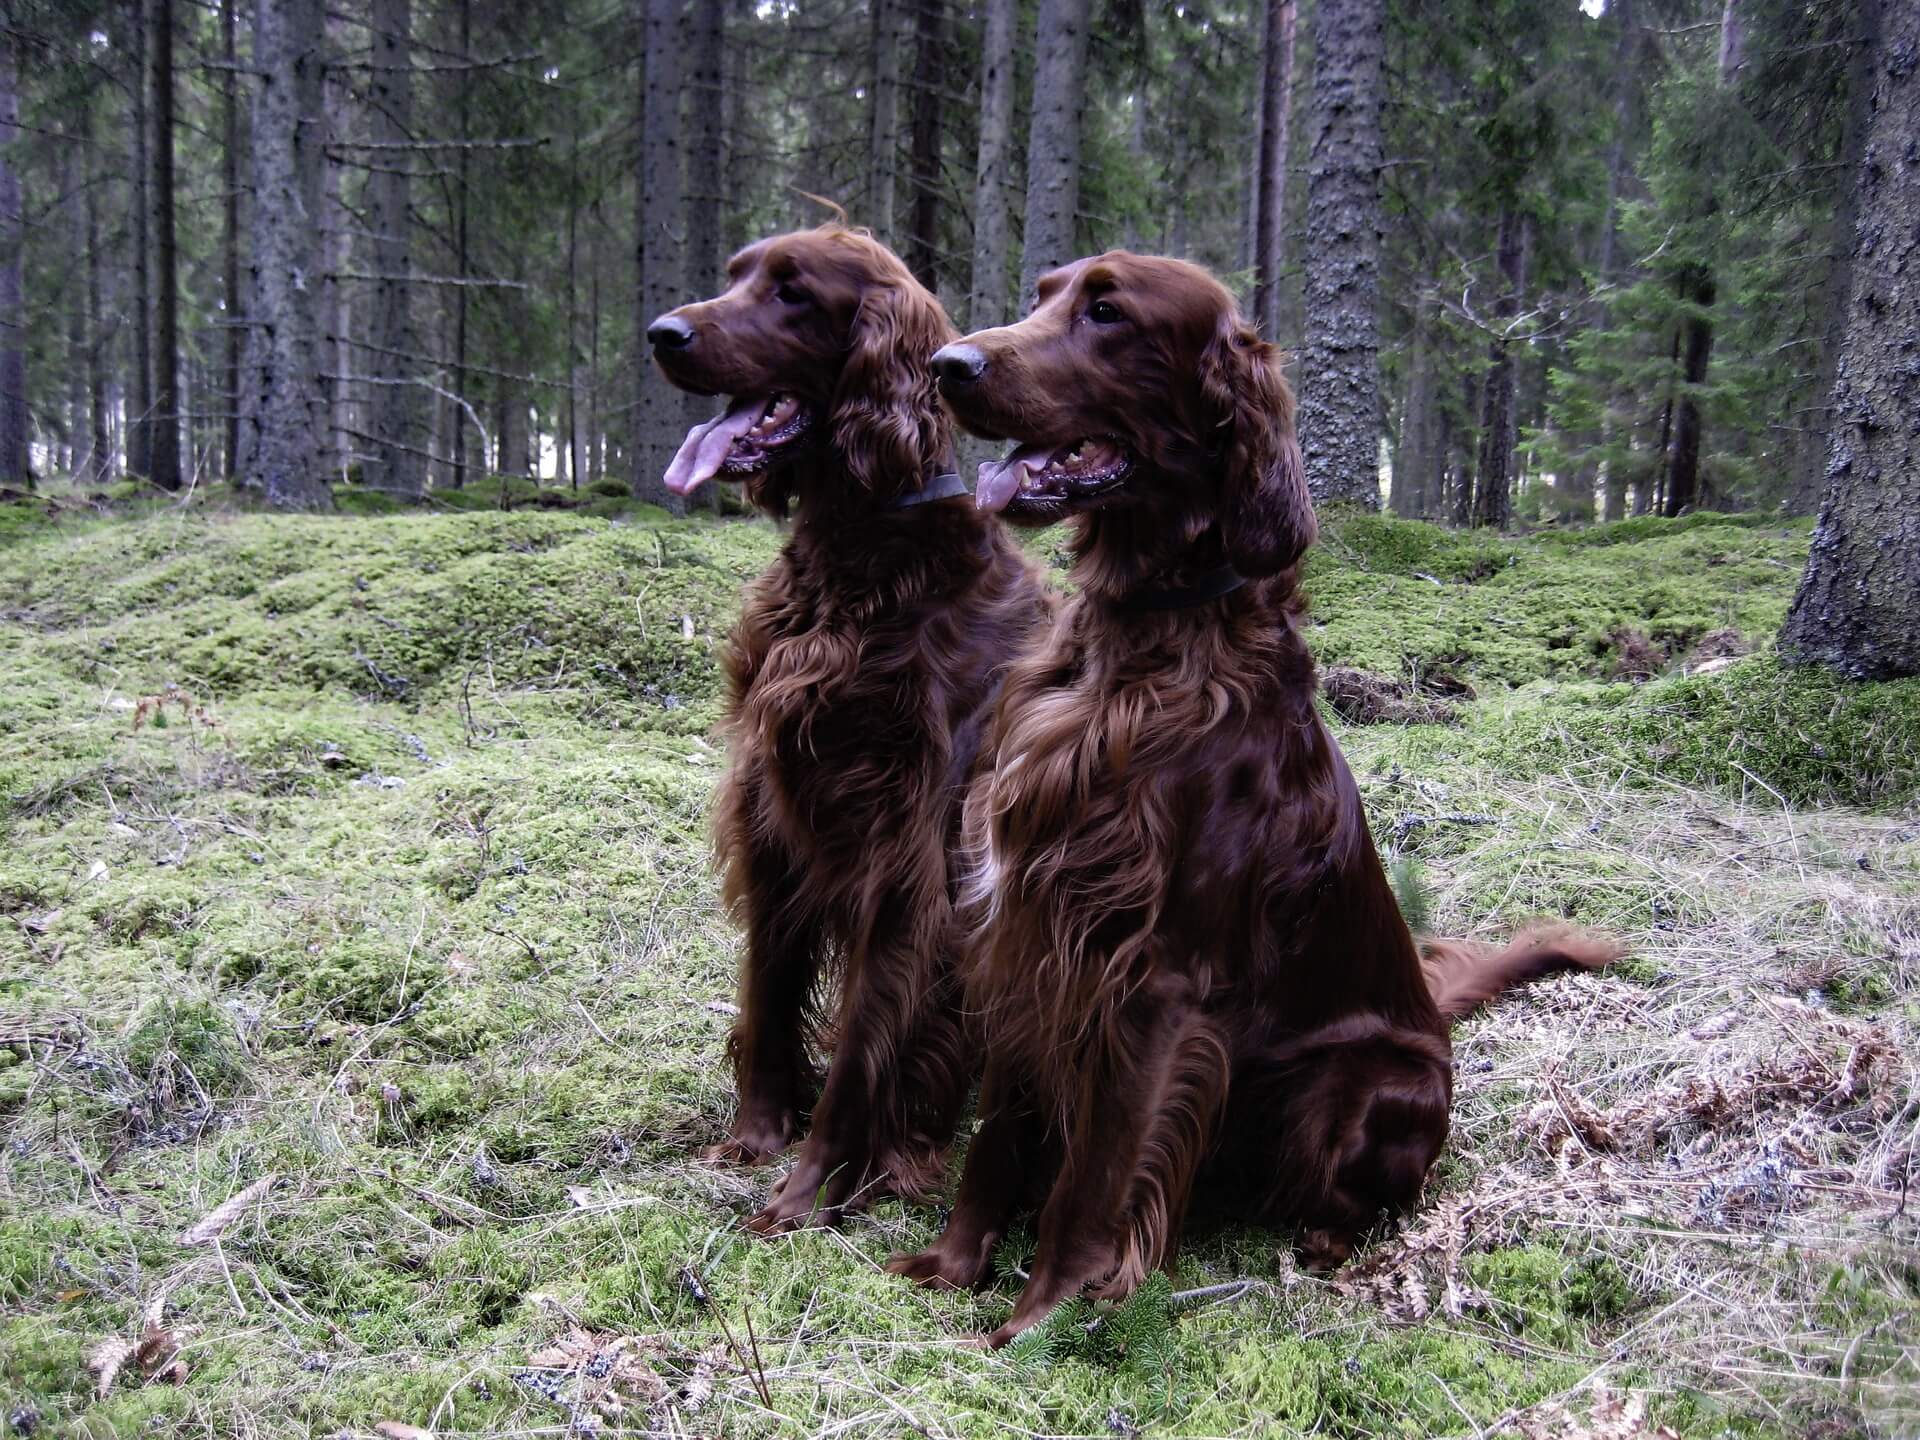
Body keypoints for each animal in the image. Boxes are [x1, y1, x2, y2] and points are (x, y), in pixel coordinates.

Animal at [652, 231, 1052, 1236]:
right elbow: (771, 987)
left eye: (792, 293)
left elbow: (867, 1039)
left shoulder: (904, 857)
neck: (855, 566)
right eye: (736, 274)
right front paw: (756, 1135)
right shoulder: (771, 814)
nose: (662, 333)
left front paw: (805, 1193)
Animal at [883, 253, 1605, 1351]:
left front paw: (1040, 1323)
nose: (948, 363)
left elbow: (1093, 1183)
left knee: (1362, 1199)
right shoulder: (1027, 927)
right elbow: (999, 1135)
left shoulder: (1154, 979)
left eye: (1107, 311)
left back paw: (1321, 1247)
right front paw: (954, 1268)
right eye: (1046, 293)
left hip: (1360, 1084)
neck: (1142, 643)